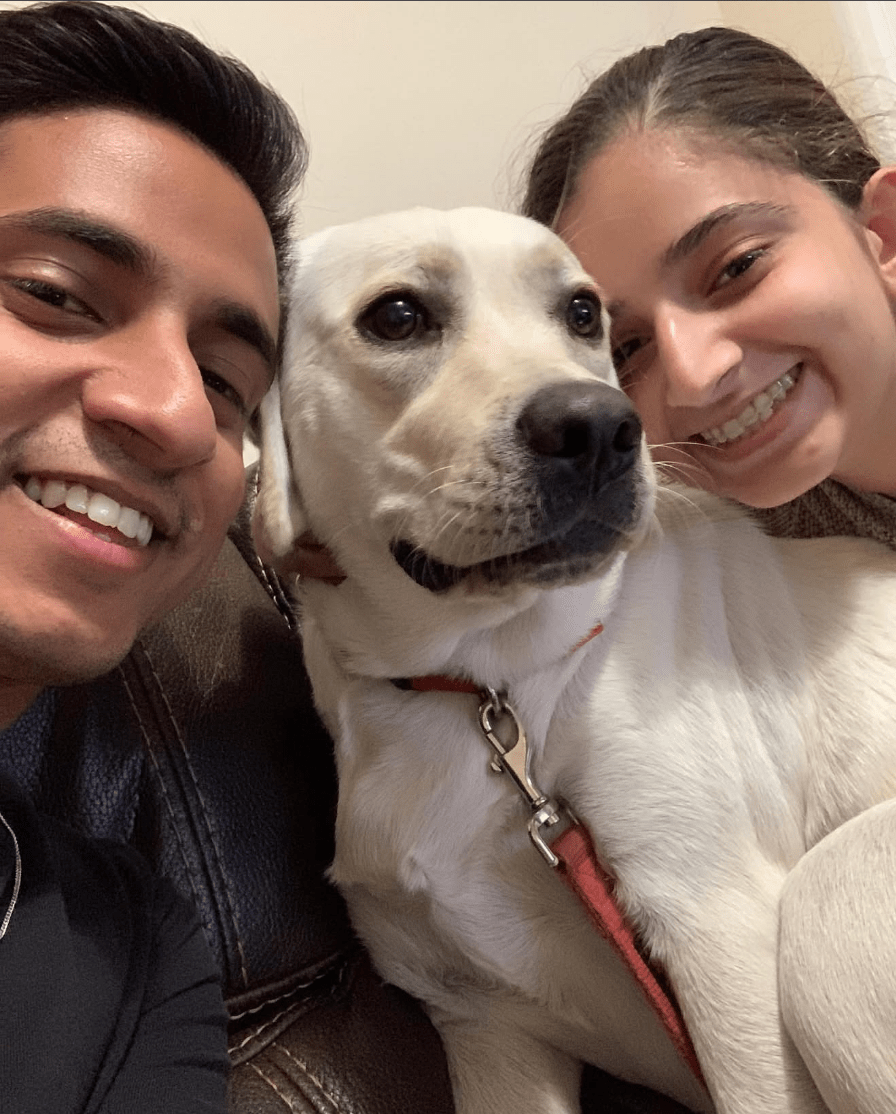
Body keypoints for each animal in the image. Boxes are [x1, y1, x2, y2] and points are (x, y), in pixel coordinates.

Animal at [255, 207, 896, 1114]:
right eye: (398, 316)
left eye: (583, 313)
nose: (600, 428)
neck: (485, 688)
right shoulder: (485, 1028)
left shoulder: (715, 927)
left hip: (826, 905)